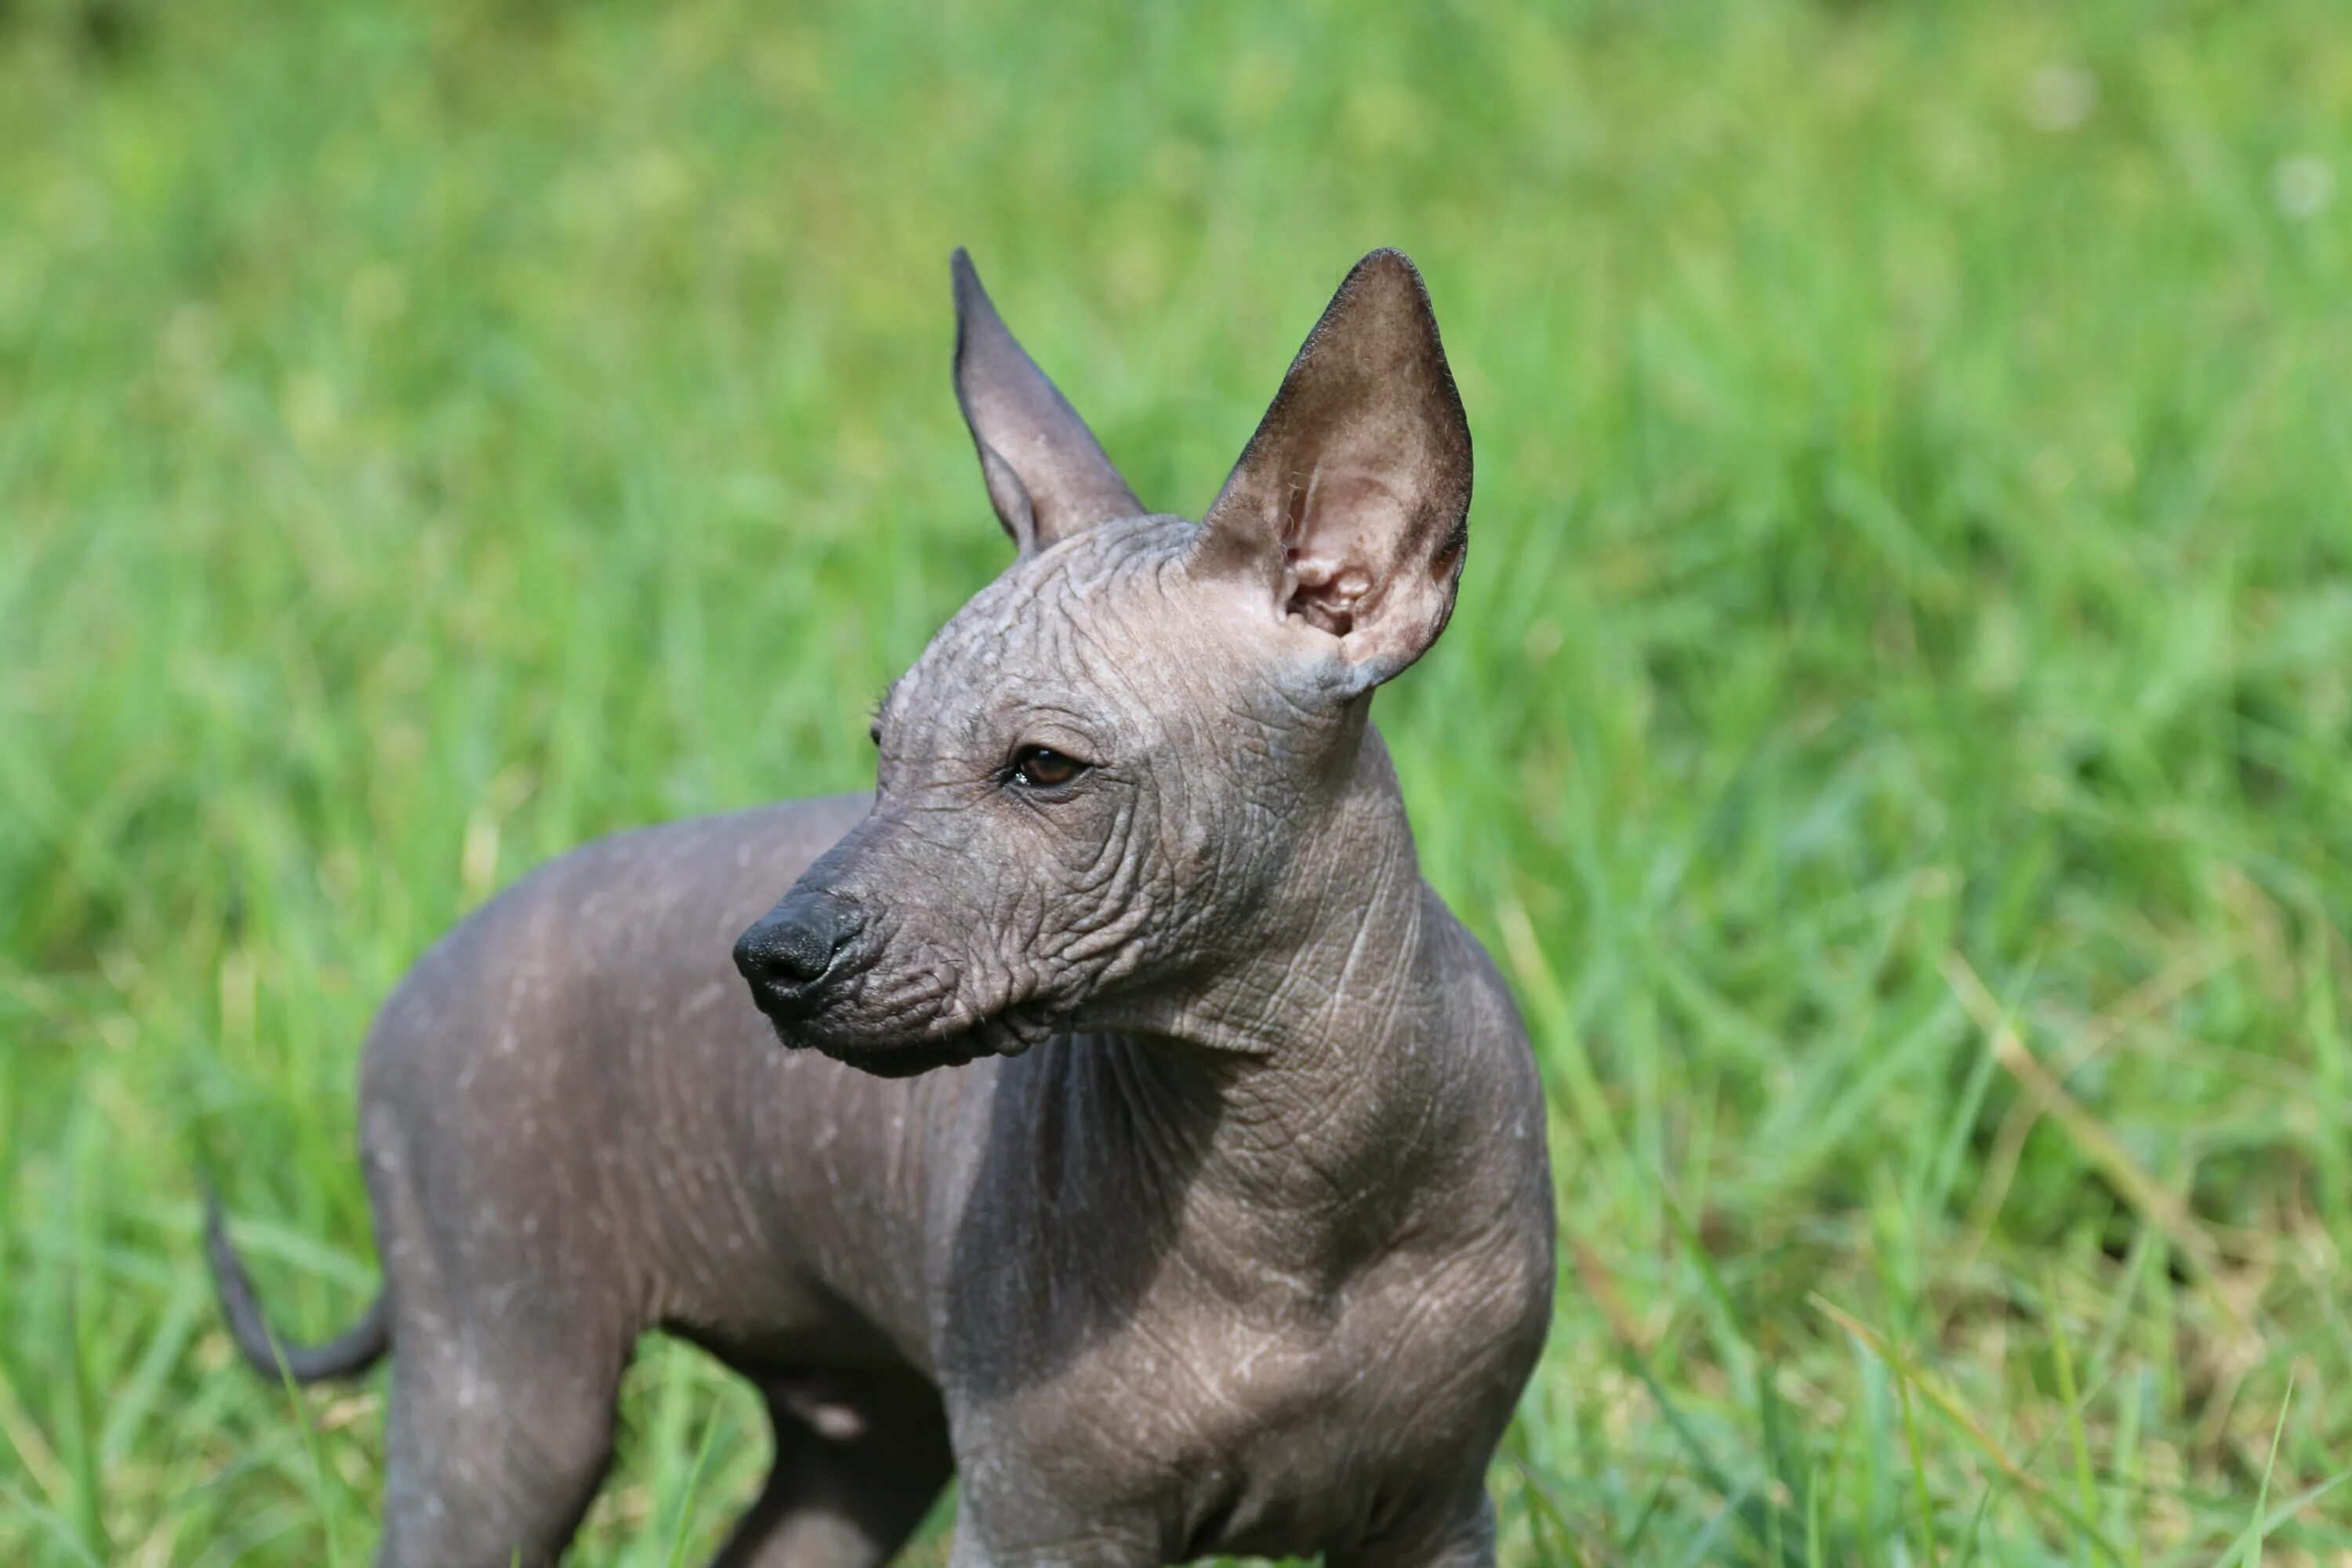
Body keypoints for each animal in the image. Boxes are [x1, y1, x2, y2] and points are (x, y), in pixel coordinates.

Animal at [212, 248, 1552, 1568]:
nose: (772, 959)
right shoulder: (1040, 1524)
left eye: (1044, 768)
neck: (1295, 1174)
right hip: (508, 1393)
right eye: (883, 747)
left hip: (865, 1433)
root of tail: (413, 984)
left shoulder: (1438, 1513)